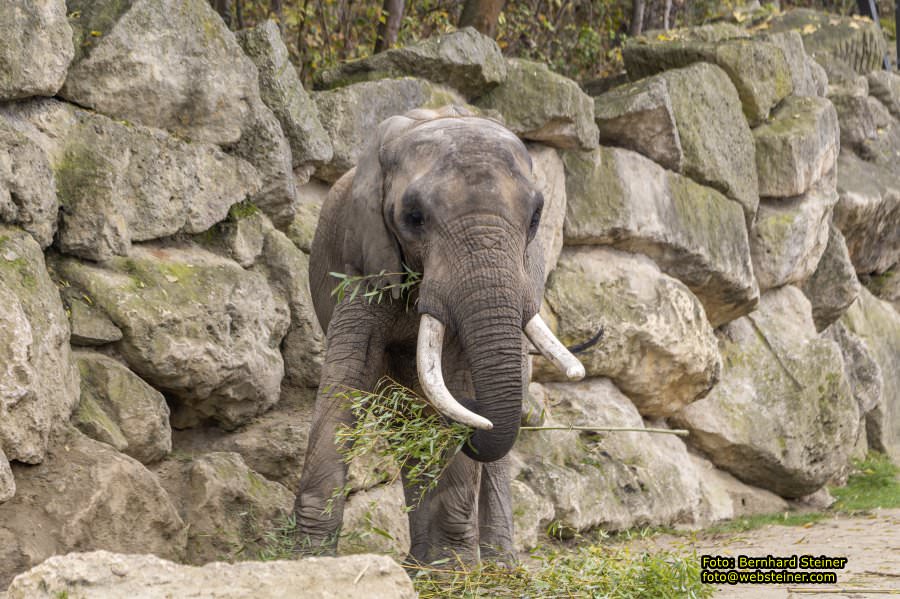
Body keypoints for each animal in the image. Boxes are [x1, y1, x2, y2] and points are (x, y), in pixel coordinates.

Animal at [294, 104, 584, 568]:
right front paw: (308, 562)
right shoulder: (363, 263)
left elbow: (461, 381)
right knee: (405, 416)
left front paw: (454, 574)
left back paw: (495, 570)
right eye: (413, 218)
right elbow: (346, 376)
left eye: (537, 217)